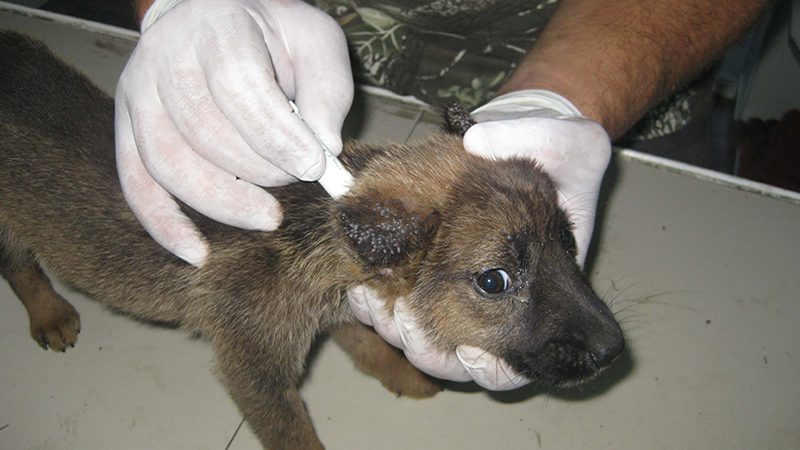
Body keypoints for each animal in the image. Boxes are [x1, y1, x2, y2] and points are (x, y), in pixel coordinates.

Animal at [0, 32, 620, 450]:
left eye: (569, 242)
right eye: (495, 281)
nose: (615, 350)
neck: (315, 229)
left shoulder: (340, 303)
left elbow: (368, 342)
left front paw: (406, 374)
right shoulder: (254, 366)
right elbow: (293, 430)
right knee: (18, 265)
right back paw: (50, 313)